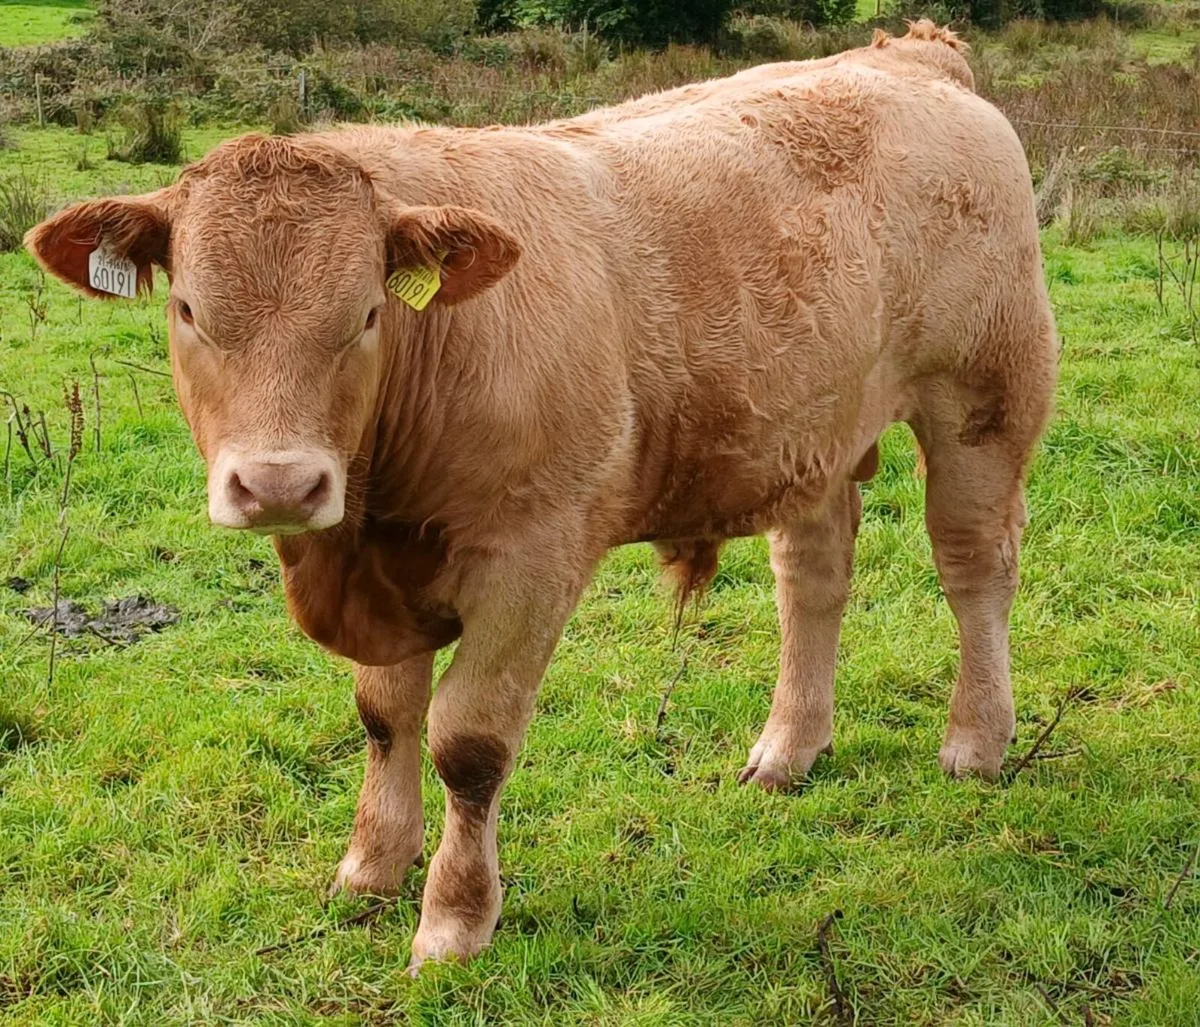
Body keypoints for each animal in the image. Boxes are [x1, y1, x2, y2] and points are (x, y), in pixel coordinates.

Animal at [25, 22, 1058, 969]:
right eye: (189, 310)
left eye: (367, 313)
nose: (279, 481)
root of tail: (908, 54)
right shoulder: (388, 574)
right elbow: (384, 714)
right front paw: (370, 866)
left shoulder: (533, 556)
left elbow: (468, 741)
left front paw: (452, 920)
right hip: (814, 427)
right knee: (814, 575)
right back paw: (787, 750)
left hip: (985, 396)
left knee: (974, 566)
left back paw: (977, 742)